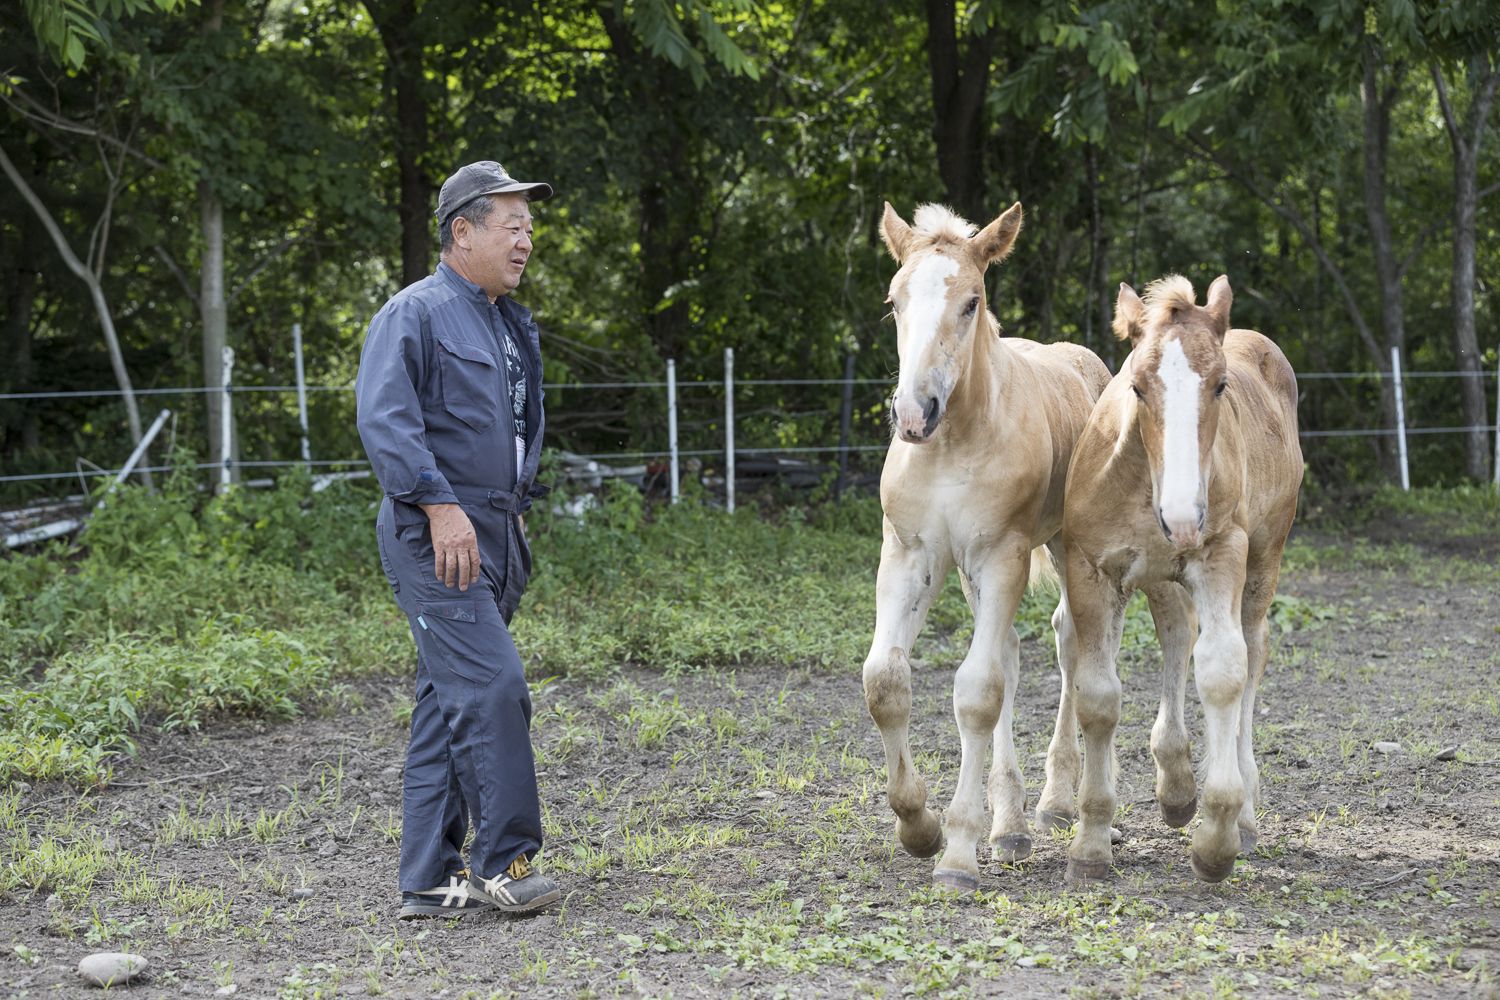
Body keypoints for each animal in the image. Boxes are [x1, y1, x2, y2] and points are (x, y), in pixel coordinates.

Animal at [864, 200, 1110, 893]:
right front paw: (918, 826)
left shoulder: (1004, 554)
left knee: (1068, 644)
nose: (914, 412)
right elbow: (885, 680)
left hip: (1063, 549)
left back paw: (1053, 805)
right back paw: (1012, 824)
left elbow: (976, 692)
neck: (952, 443)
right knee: (1009, 652)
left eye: (971, 301)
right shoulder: (911, 554)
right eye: (894, 300)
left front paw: (957, 851)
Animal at [1068, 275, 1302, 881]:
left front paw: (1217, 837)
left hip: (1263, 558)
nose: (1180, 519)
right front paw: (1091, 844)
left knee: (1252, 650)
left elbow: (1223, 671)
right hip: (1160, 577)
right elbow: (1098, 697)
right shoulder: (1092, 571)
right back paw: (1175, 788)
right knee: (1177, 636)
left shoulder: (1222, 555)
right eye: (1136, 386)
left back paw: (1243, 811)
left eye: (1221, 385)